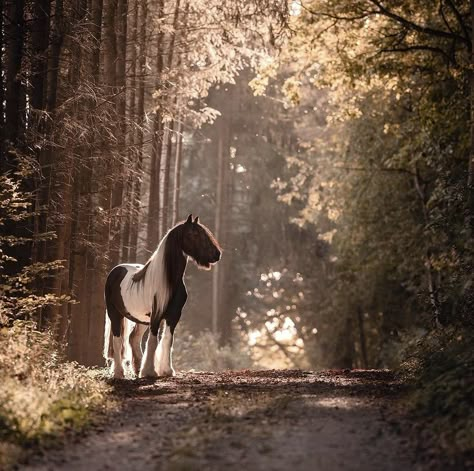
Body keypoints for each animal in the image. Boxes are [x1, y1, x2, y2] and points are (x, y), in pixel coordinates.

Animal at [103, 215, 221, 380]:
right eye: (194, 234)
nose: (217, 254)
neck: (169, 281)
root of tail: (116, 270)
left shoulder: (174, 316)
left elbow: (167, 340)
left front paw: (166, 370)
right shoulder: (156, 316)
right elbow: (153, 341)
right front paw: (150, 372)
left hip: (141, 319)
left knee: (133, 338)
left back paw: (137, 369)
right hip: (115, 314)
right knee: (118, 340)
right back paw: (119, 373)